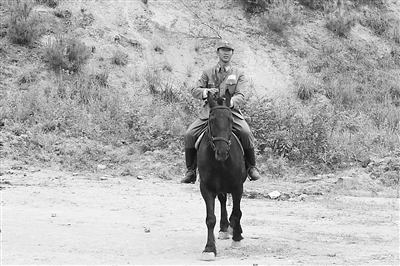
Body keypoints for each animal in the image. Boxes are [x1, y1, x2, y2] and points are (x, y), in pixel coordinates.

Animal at [197, 90, 247, 260]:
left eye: (231, 120)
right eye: (211, 120)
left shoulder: (238, 187)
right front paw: (209, 248)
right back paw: (224, 228)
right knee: (223, 201)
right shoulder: (206, 188)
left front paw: (237, 238)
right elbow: (210, 218)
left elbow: (237, 213)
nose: (222, 152)